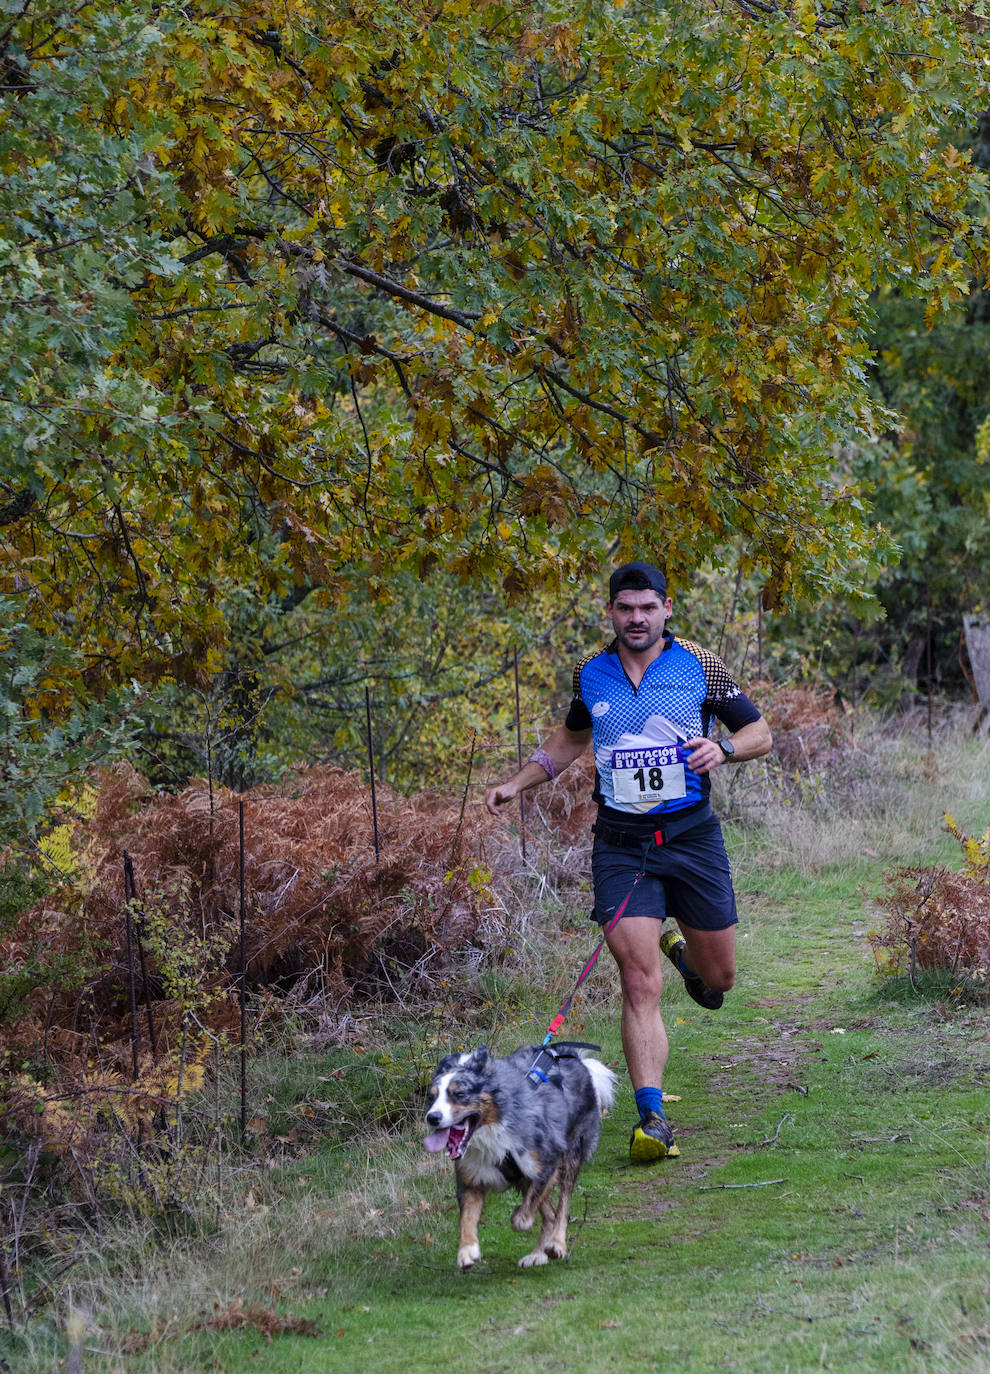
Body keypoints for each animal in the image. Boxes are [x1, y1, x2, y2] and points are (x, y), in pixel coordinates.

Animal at [420, 1044, 615, 1269]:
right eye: (432, 1097)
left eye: (459, 1094)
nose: (432, 1118)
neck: (492, 1129)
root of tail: (570, 1055)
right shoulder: (470, 1180)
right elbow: (466, 1219)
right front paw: (467, 1250)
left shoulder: (547, 1162)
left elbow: (525, 1215)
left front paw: (518, 1218)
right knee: (550, 1213)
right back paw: (538, 1254)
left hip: (571, 1153)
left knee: (562, 1208)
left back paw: (556, 1243)